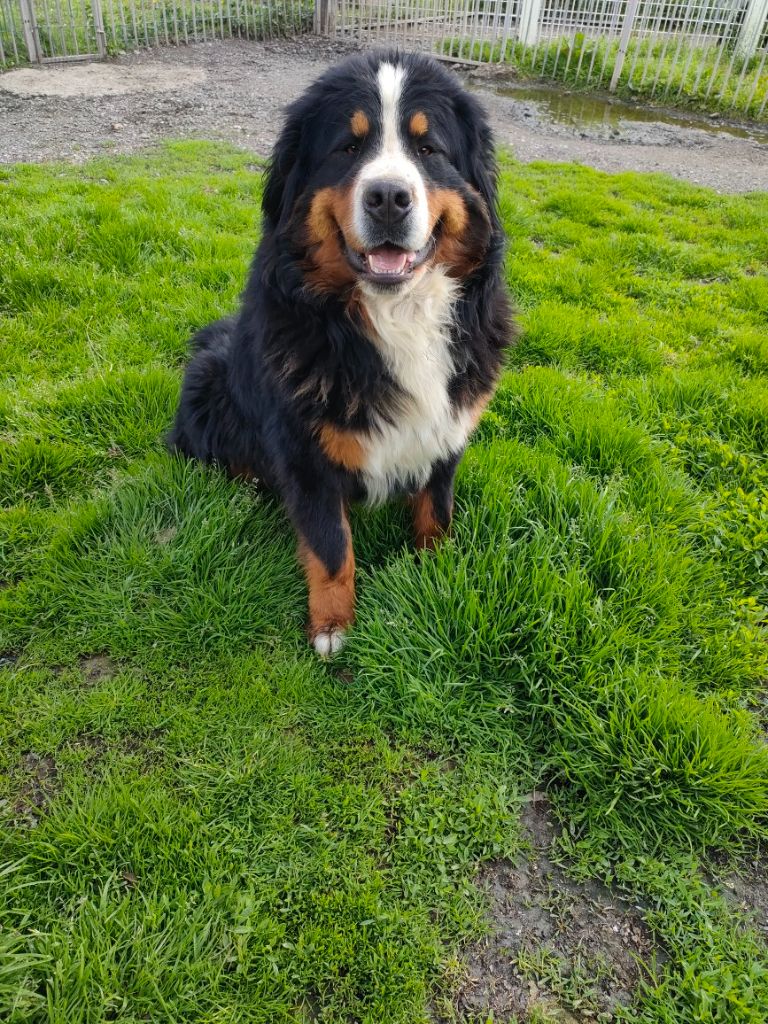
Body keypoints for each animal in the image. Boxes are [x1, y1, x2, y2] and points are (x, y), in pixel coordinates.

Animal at [169, 48, 518, 655]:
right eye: (348, 147)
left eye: (429, 149)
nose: (388, 198)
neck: (396, 316)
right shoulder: (305, 452)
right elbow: (332, 547)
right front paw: (333, 627)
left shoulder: (448, 428)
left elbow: (437, 510)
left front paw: (436, 572)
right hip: (208, 384)